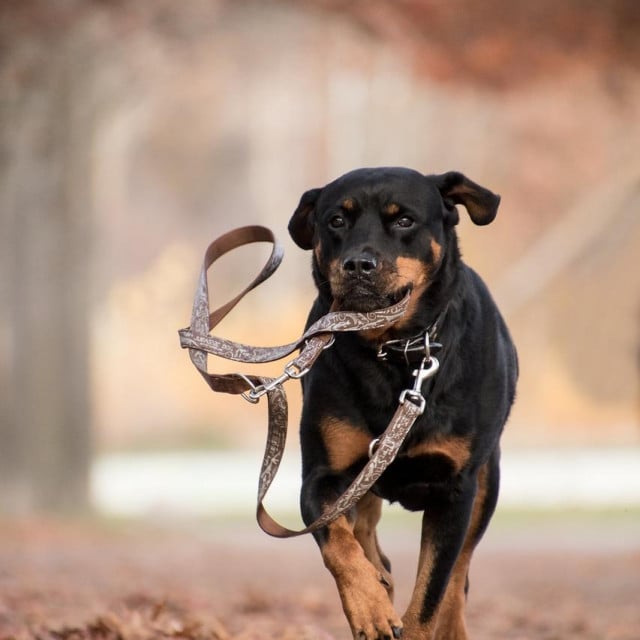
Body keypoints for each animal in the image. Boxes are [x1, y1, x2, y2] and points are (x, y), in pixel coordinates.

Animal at [288, 169, 516, 640]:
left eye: (404, 220)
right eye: (336, 220)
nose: (358, 264)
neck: (396, 351)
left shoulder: (455, 488)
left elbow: (433, 589)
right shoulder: (321, 477)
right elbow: (338, 544)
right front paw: (370, 608)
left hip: (488, 480)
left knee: (458, 574)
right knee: (368, 542)